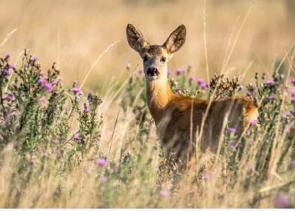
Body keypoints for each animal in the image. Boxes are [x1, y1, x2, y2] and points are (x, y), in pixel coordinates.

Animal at [126, 23, 258, 171]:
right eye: (145, 57)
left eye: (163, 58)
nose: (152, 70)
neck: (165, 106)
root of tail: (253, 109)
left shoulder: (186, 149)